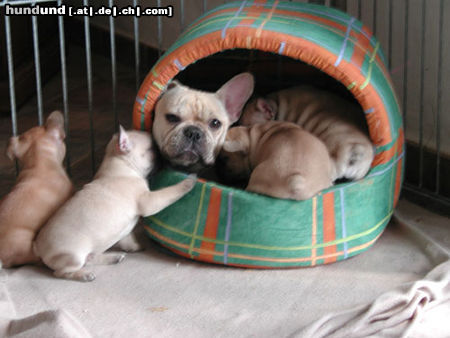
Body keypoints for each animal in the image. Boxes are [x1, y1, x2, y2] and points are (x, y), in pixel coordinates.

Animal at [34, 125, 196, 282]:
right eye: (152, 149)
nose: (161, 154)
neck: (122, 165)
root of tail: (38, 248)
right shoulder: (150, 201)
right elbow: (170, 192)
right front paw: (188, 182)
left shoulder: (125, 230)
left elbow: (128, 239)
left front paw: (135, 247)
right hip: (73, 257)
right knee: (61, 272)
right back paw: (83, 275)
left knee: (89, 258)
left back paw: (112, 258)